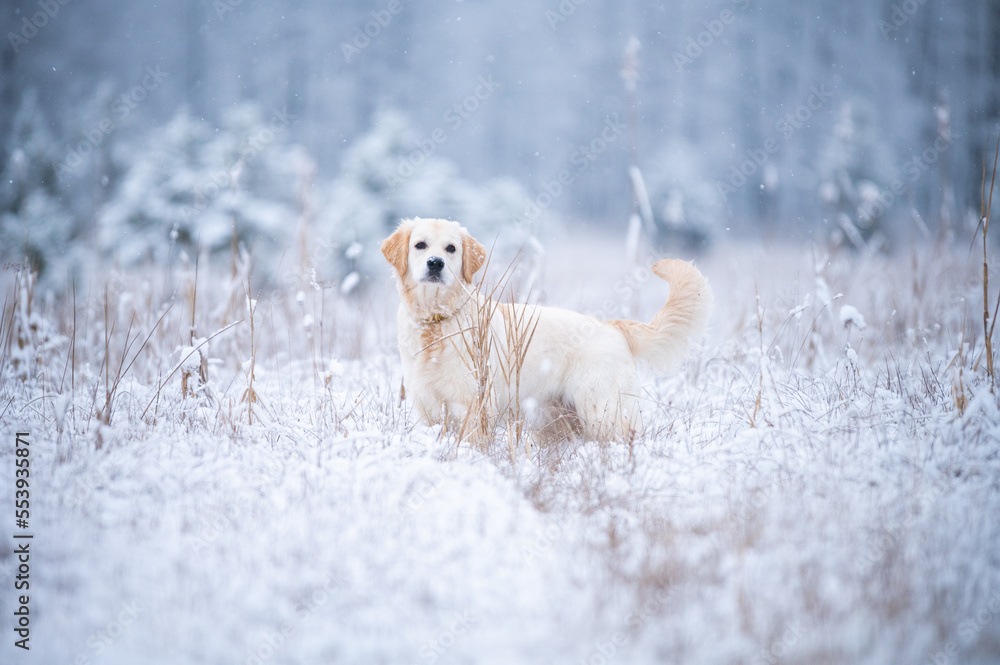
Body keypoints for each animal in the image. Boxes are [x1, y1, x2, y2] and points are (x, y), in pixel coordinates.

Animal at [378, 218, 716, 440]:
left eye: (451, 249)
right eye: (420, 245)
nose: (435, 263)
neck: (437, 320)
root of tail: (612, 327)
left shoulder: (475, 403)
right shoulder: (427, 405)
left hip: (602, 412)